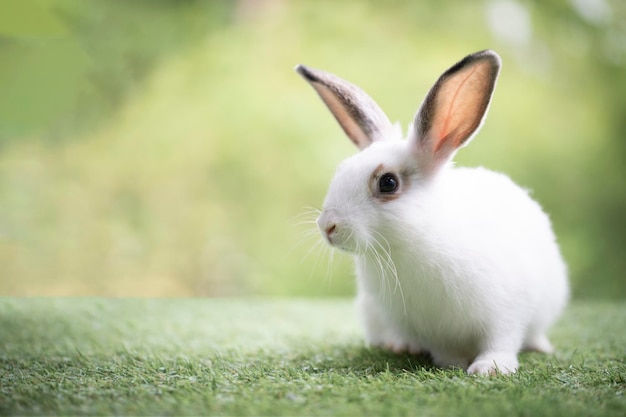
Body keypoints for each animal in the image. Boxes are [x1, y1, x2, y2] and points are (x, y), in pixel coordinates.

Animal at [294, 50, 568, 376]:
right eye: (341, 170)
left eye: (388, 183)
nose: (327, 225)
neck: (409, 246)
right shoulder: (428, 329)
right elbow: (445, 350)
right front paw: (452, 364)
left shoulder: (506, 312)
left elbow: (501, 340)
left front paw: (489, 368)